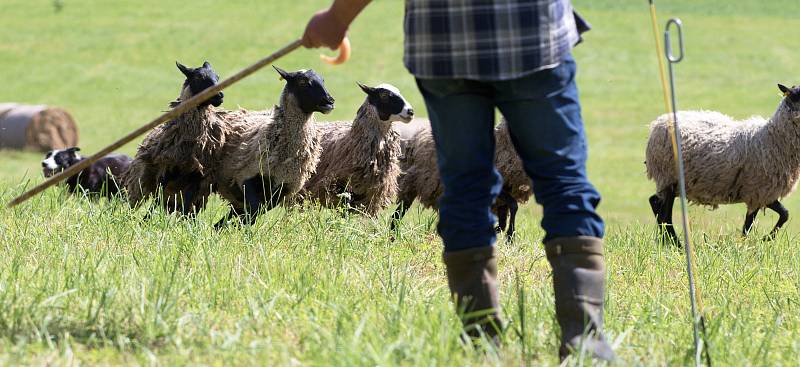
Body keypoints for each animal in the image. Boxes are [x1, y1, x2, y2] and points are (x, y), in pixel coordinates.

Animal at [122, 60, 228, 216]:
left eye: (218, 76)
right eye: (198, 77)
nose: (220, 95)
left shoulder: (197, 178)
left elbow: (186, 206)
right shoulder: (166, 172)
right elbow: (155, 203)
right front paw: (147, 220)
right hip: (141, 182)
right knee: (142, 202)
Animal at [212, 67, 334, 227]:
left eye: (323, 80)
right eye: (302, 82)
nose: (330, 101)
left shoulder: (281, 190)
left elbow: (255, 211)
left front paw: (234, 227)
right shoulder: (245, 176)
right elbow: (253, 211)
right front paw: (238, 227)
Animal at [648, 83, 800, 244]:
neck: (773, 138)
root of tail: (657, 124)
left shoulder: (760, 193)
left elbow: (765, 219)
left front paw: (751, 242)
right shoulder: (759, 191)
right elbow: (777, 216)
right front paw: (763, 239)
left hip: (672, 183)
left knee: (656, 203)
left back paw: (669, 242)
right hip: (668, 177)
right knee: (663, 212)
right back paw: (676, 244)